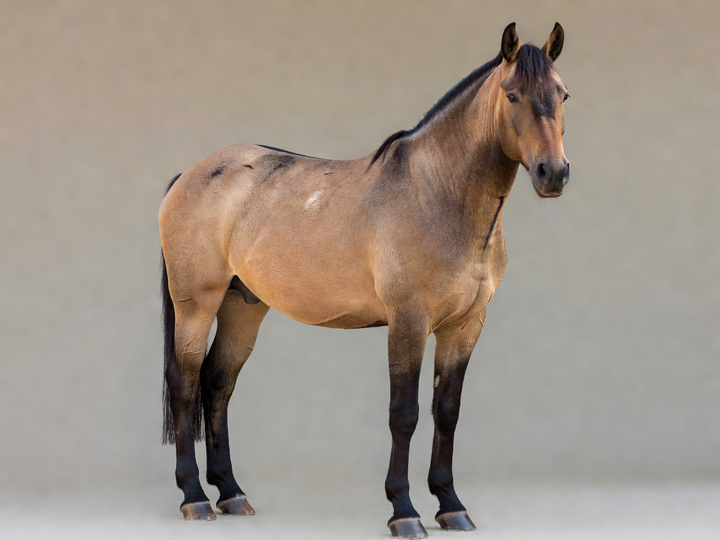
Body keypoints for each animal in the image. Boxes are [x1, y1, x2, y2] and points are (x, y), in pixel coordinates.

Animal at [159, 22, 570, 538]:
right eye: (512, 95)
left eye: (563, 94)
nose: (553, 173)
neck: (437, 195)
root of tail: (187, 176)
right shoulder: (408, 323)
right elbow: (404, 414)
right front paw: (405, 511)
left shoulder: (465, 326)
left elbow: (447, 411)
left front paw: (451, 505)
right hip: (196, 305)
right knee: (185, 383)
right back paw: (193, 497)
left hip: (242, 307)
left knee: (217, 383)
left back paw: (232, 494)